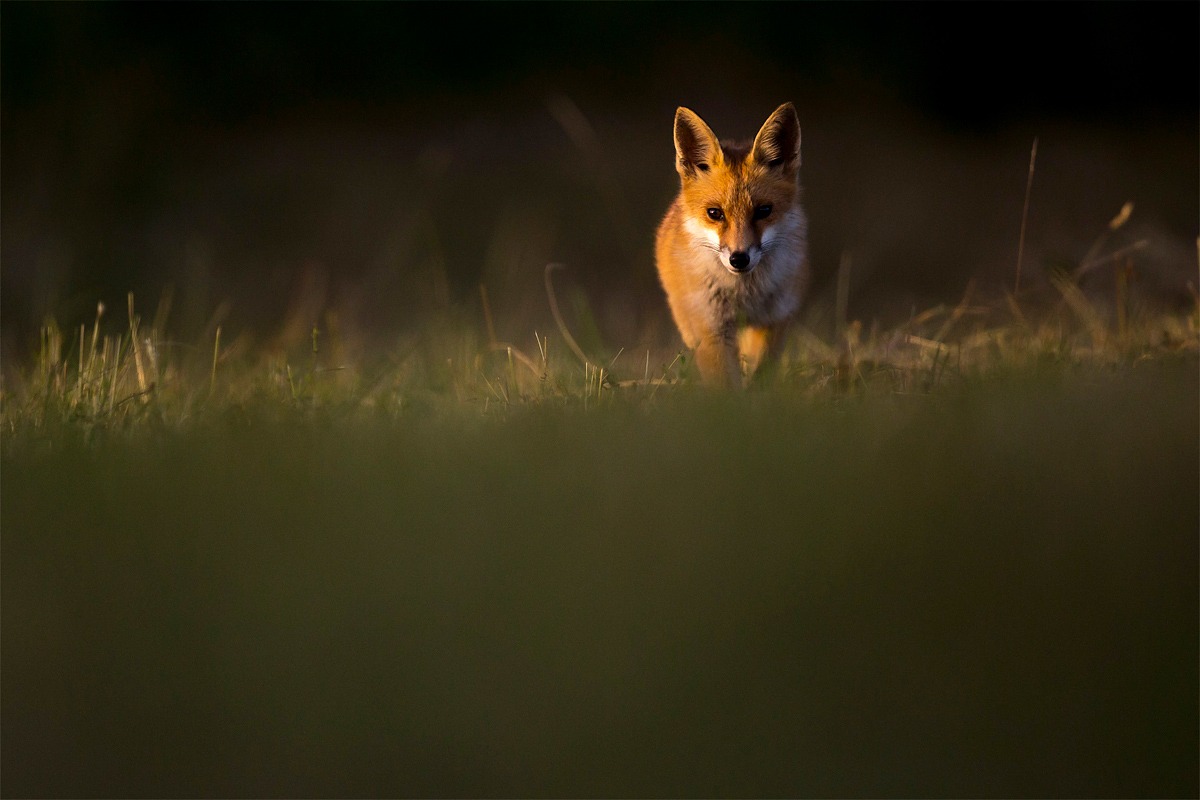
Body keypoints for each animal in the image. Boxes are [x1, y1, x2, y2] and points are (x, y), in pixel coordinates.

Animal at [654, 102, 809, 387]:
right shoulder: (710, 326)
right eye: (715, 213)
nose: (739, 258)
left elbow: (760, 374)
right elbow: (724, 383)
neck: (744, 295)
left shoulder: (774, 321)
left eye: (764, 211)